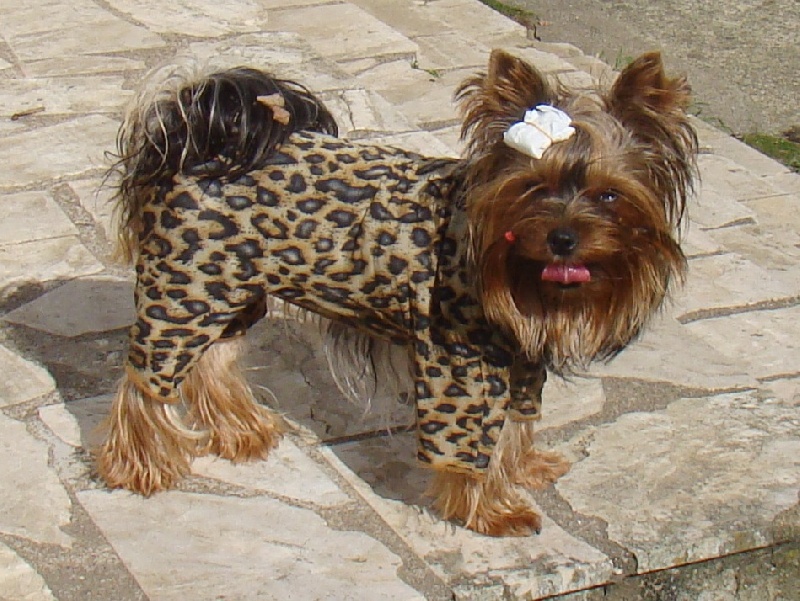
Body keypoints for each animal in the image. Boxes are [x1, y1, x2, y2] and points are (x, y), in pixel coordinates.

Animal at [96, 49, 697, 536]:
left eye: (609, 195)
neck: (506, 264)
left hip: (226, 289)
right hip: (180, 289)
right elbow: (467, 444)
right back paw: (139, 466)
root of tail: (196, 138)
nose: (563, 239)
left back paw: (241, 432)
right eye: (533, 188)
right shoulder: (459, 365)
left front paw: (524, 468)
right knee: (146, 382)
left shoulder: (520, 360)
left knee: (212, 360)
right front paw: (493, 511)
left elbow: (514, 424)